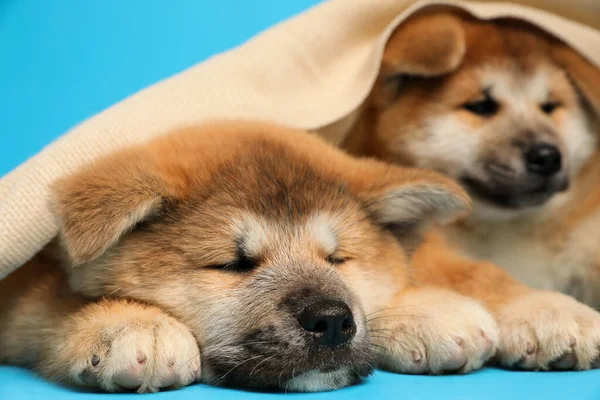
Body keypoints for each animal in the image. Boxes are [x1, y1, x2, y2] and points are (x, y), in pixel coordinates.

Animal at [0, 120, 596, 392]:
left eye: (338, 260)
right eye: (234, 265)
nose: (332, 321)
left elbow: (458, 270)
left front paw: (541, 310)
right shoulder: (28, 275)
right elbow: (50, 299)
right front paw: (128, 323)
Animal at [342, 10, 600, 310]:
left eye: (550, 107)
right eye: (481, 106)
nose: (548, 157)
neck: (501, 227)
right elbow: (478, 273)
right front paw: (548, 306)